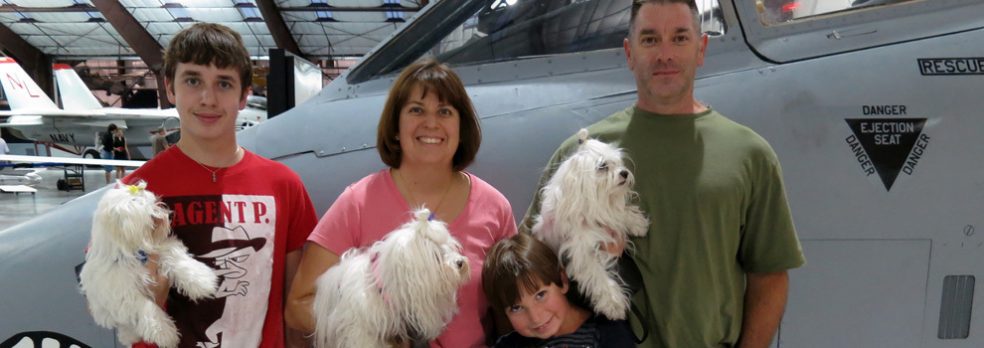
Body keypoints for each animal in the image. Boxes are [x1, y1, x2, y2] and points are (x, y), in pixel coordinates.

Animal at [80, 181, 219, 346]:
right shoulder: (122, 291)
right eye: (142, 208)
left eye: (154, 203)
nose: (167, 215)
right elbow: (144, 306)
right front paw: (163, 332)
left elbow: (175, 258)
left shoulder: (160, 248)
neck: (136, 253)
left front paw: (201, 281)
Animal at [536, 128, 648, 320]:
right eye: (602, 166)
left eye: (617, 162)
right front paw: (613, 304)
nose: (624, 173)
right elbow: (598, 276)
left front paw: (637, 223)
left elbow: (620, 215)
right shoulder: (581, 251)